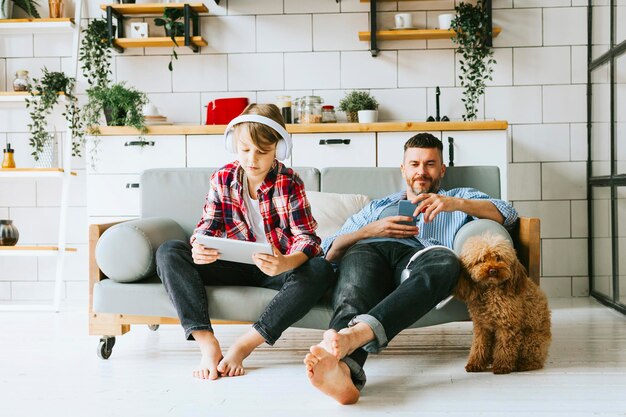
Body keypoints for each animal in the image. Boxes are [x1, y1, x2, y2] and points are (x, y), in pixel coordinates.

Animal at [450, 231, 548, 374]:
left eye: (499, 258)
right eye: (481, 260)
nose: (492, 270)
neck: (491, 291)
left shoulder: (507, 325)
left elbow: (504, 347)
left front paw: (502, 366)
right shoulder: (481, 326)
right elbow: (479, 345)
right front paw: (475, 364)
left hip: (530, 340)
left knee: (534, 359)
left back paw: (523, 364)